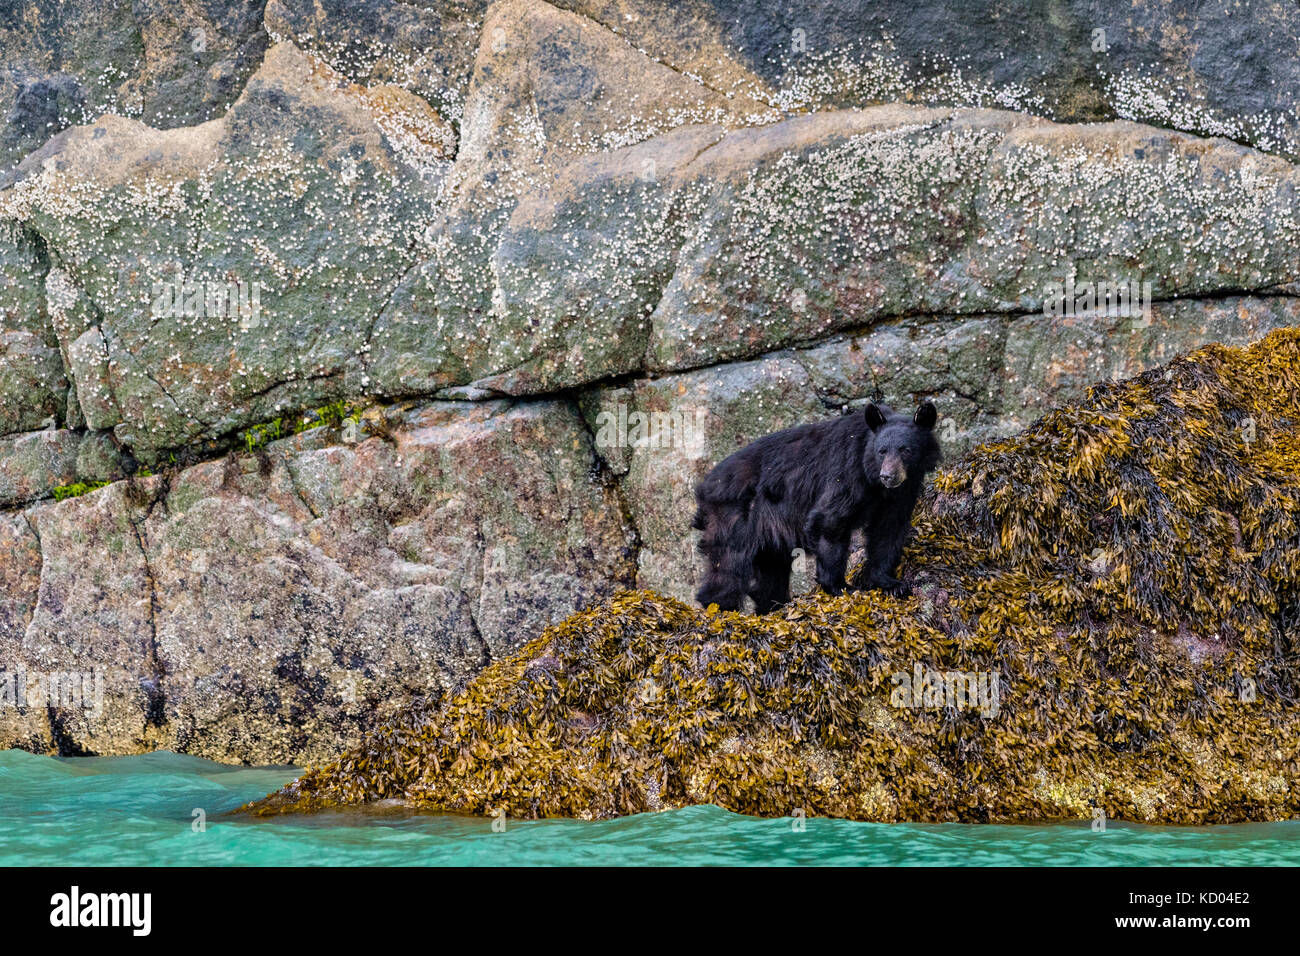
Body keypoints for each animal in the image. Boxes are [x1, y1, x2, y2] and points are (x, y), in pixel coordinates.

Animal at [696, 398, 941, 613]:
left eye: (905, 450)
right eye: (882, 451)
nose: (888, 476)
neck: (874, 482)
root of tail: (706, 484)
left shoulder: (902, 492)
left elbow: (889, 530)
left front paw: (891, 584)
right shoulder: (847, 474)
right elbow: (829, 520)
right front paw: (841, 587)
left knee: (771, 569)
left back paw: (772, 605)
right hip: (735, 514)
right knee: (729, 563)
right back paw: (720, 608)